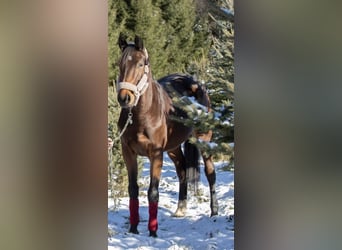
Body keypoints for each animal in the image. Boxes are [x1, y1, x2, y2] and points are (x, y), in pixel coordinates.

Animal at [117, 34, 218, 236]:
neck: (142, 115)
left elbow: (153, 192)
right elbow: (133, 189)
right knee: (182, 170)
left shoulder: (156, 154)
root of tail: (195, 84)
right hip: (173, 148)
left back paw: (214, 212)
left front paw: (153, 232)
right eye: (119, 64)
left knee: (210, 173)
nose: (125, 98)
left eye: (140, 64)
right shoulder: (128, 153)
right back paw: (181, 208)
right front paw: (133, 229)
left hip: (204, 140)